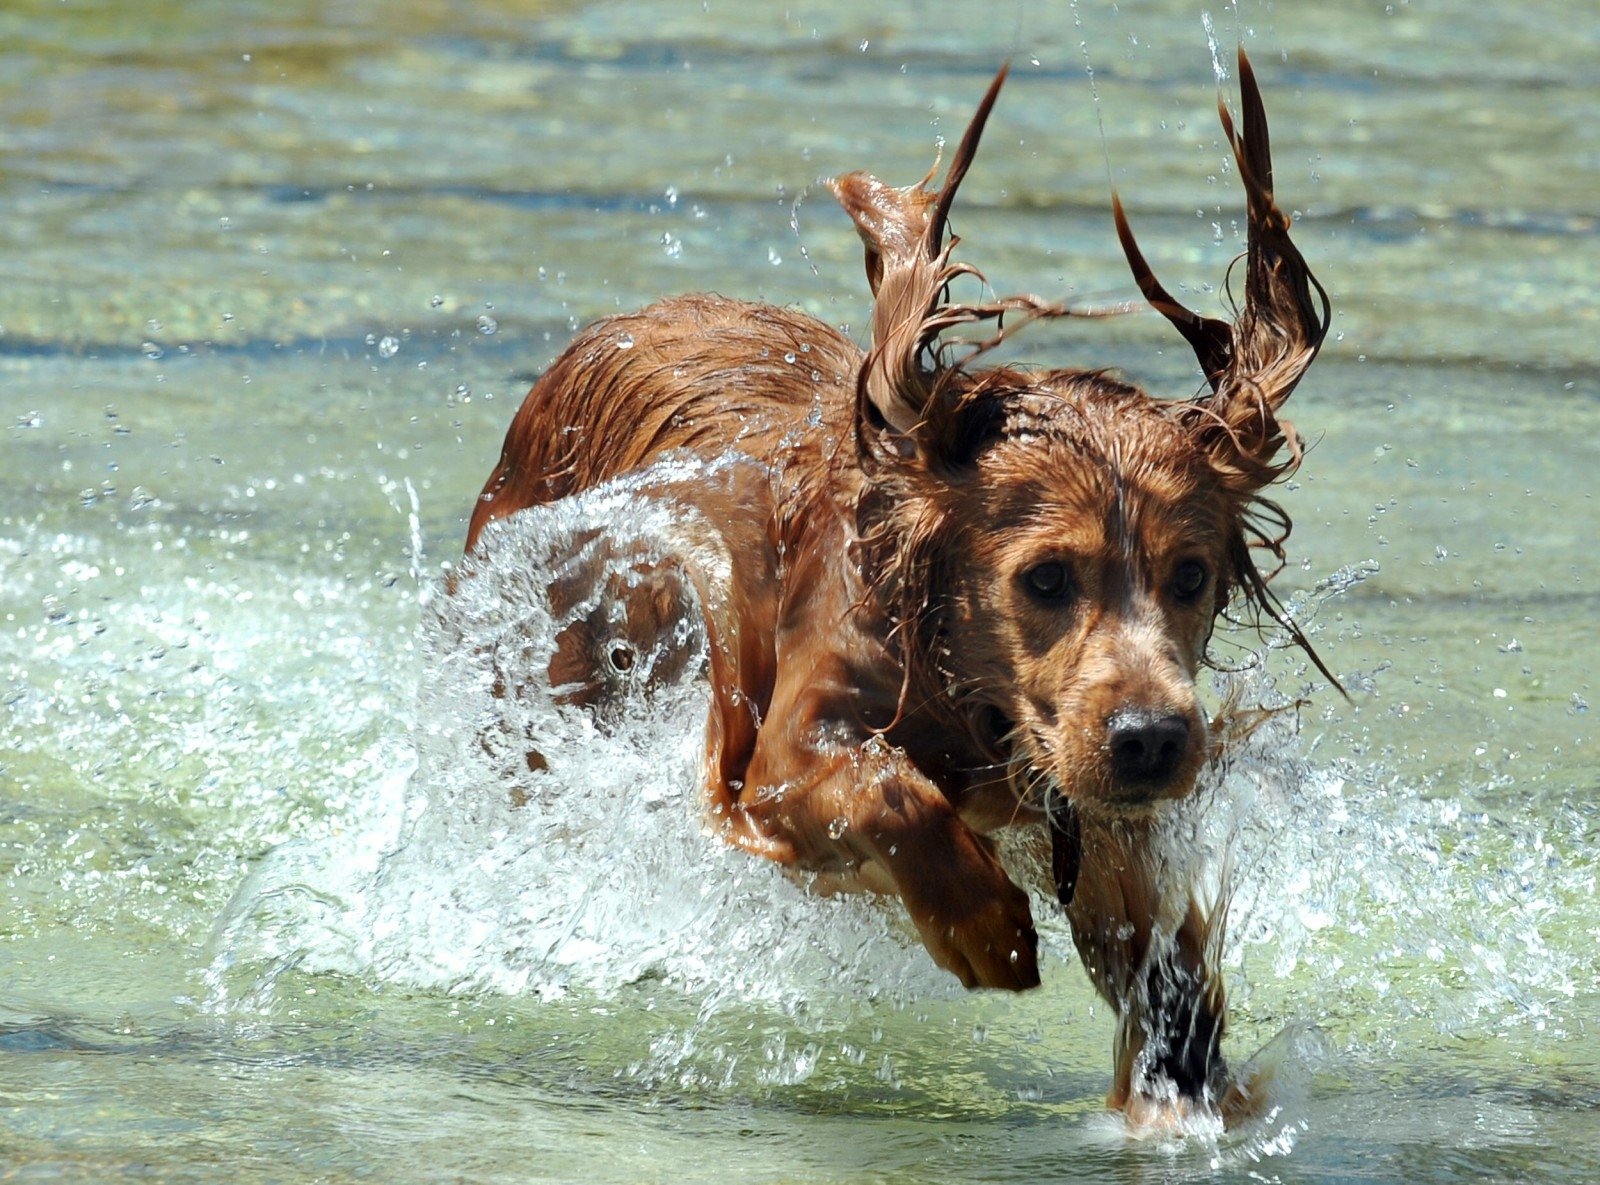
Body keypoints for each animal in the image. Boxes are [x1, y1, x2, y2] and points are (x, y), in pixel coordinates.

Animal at [460, 50, 1324, 1125]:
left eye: (1191, 575)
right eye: (1045, 577)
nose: (1152, 740)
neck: (970, 700)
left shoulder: (1088, 813)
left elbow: (1155, 958)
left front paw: (1179, 1072)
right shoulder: (776, 757)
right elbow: (889, 792)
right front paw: (984, 924)